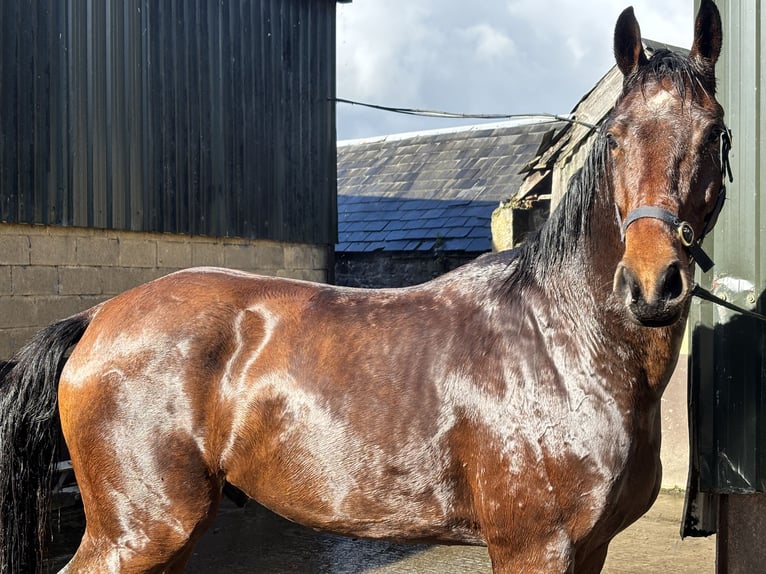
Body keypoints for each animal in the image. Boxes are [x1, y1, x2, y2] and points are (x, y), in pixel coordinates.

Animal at [0, 2, 728, 572]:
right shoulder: (535, 548)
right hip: (139, 534)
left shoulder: (591, 549)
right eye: (616, 136)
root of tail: (97, 318)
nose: (652, 286)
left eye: (714, 131)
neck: (562, 343)